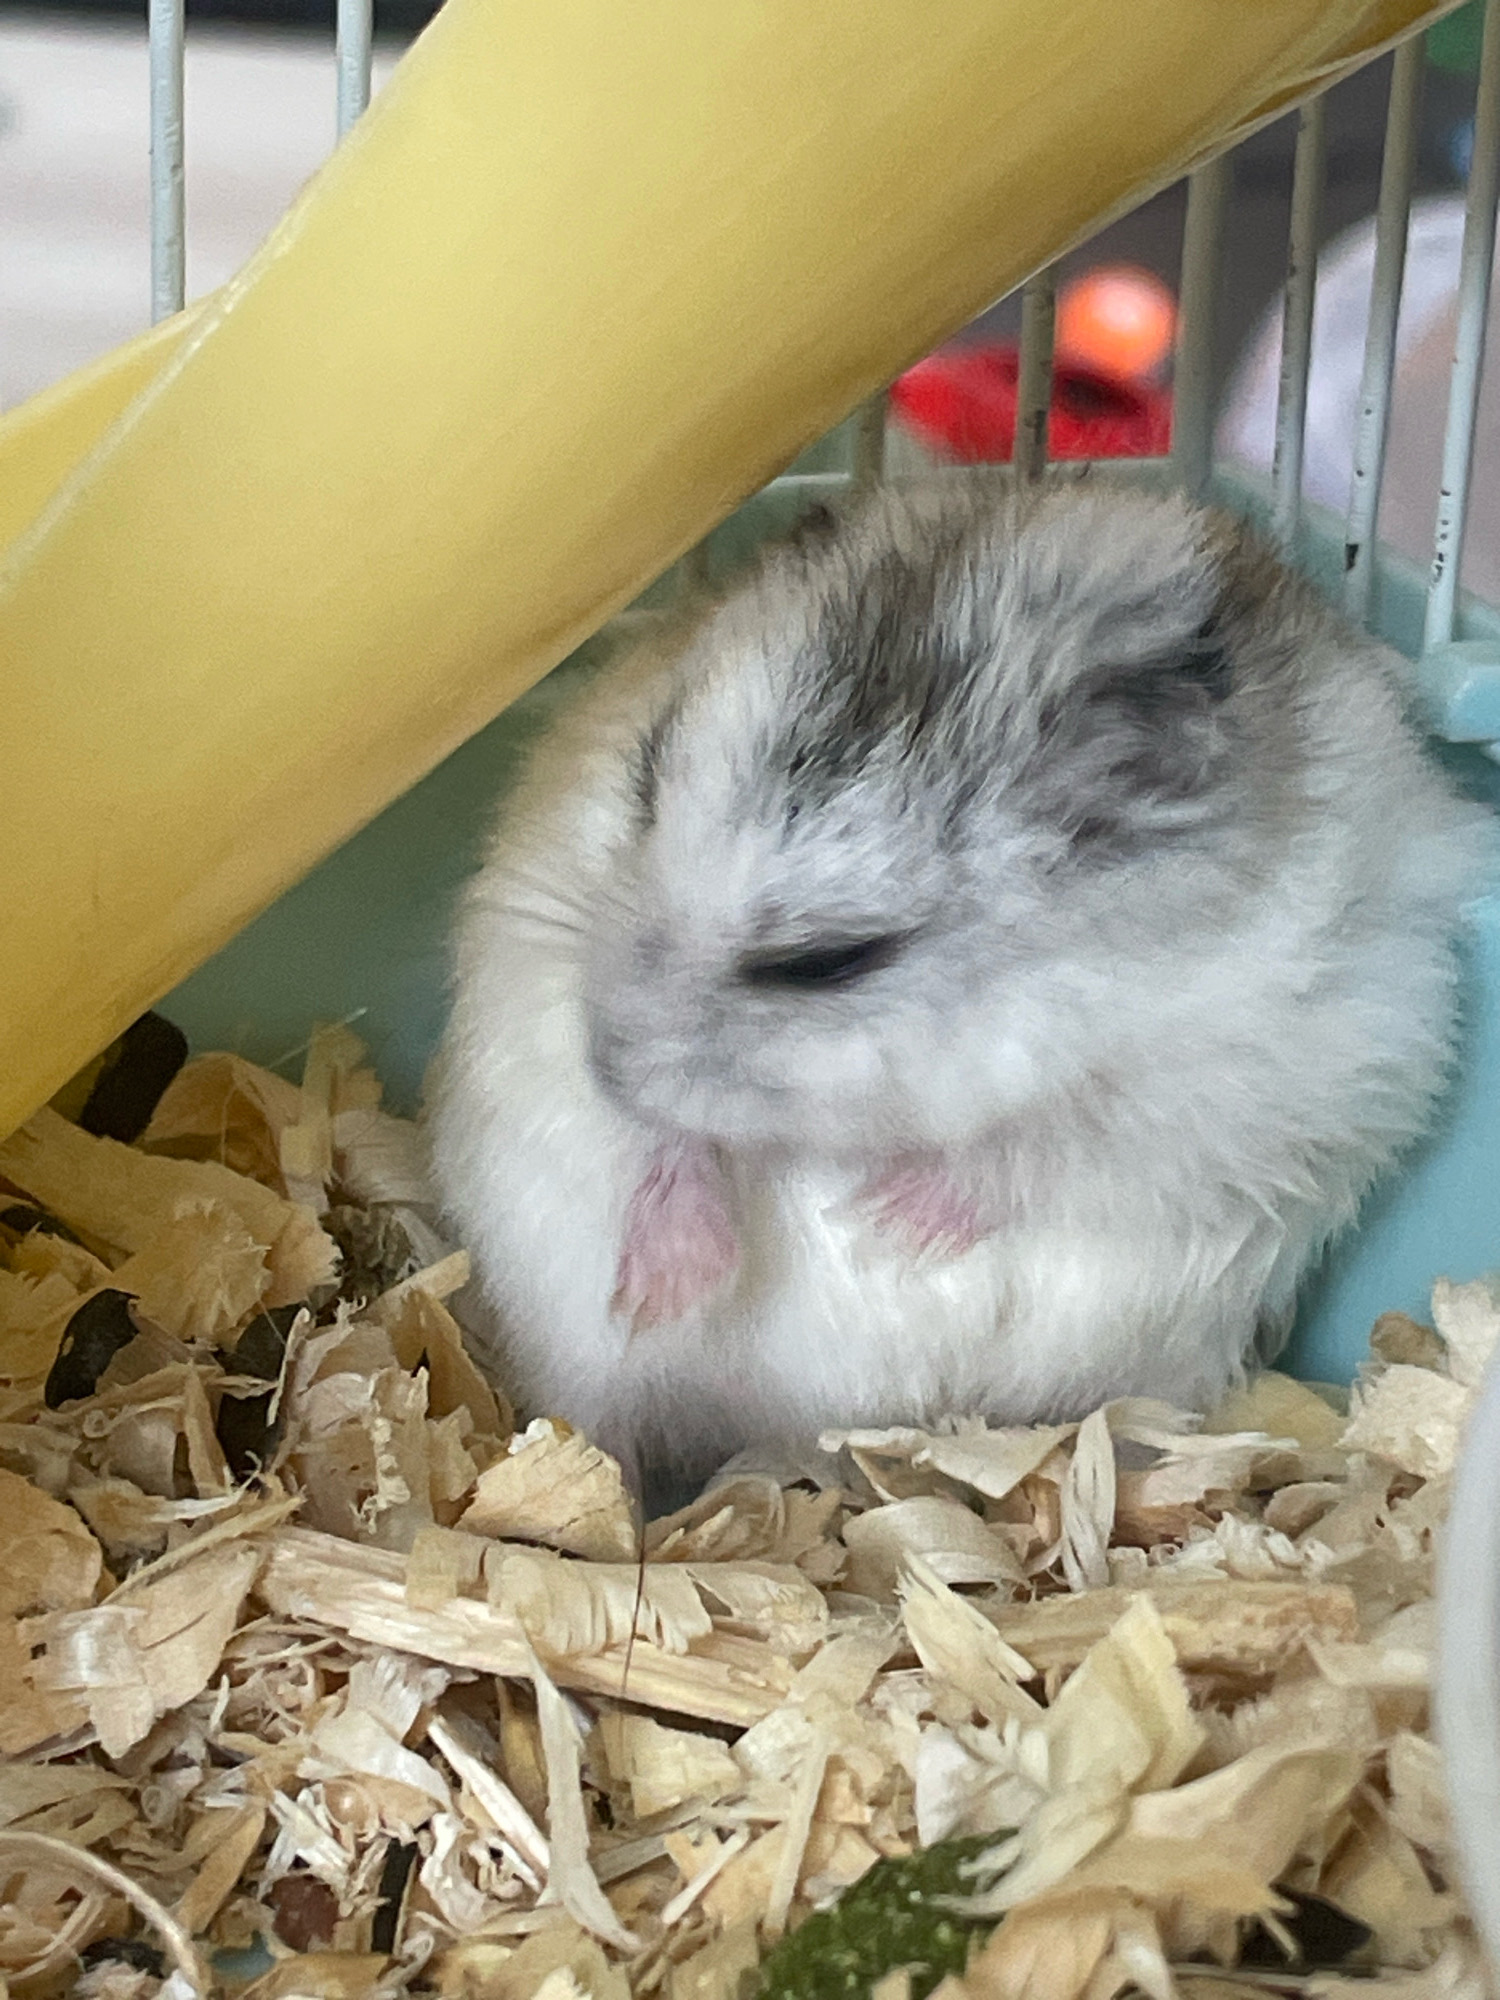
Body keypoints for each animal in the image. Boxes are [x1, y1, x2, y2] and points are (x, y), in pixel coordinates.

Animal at [427, 477, 1490, 1502]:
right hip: (579, 1350)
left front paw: (882, 1225)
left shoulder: (1265, 1069)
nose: (601, 1063)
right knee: (601, 1426)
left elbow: (1059, 1139)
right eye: (644, 777)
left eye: (828, 961)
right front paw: (673, 1280)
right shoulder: (534, 961)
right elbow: (651, 1135)